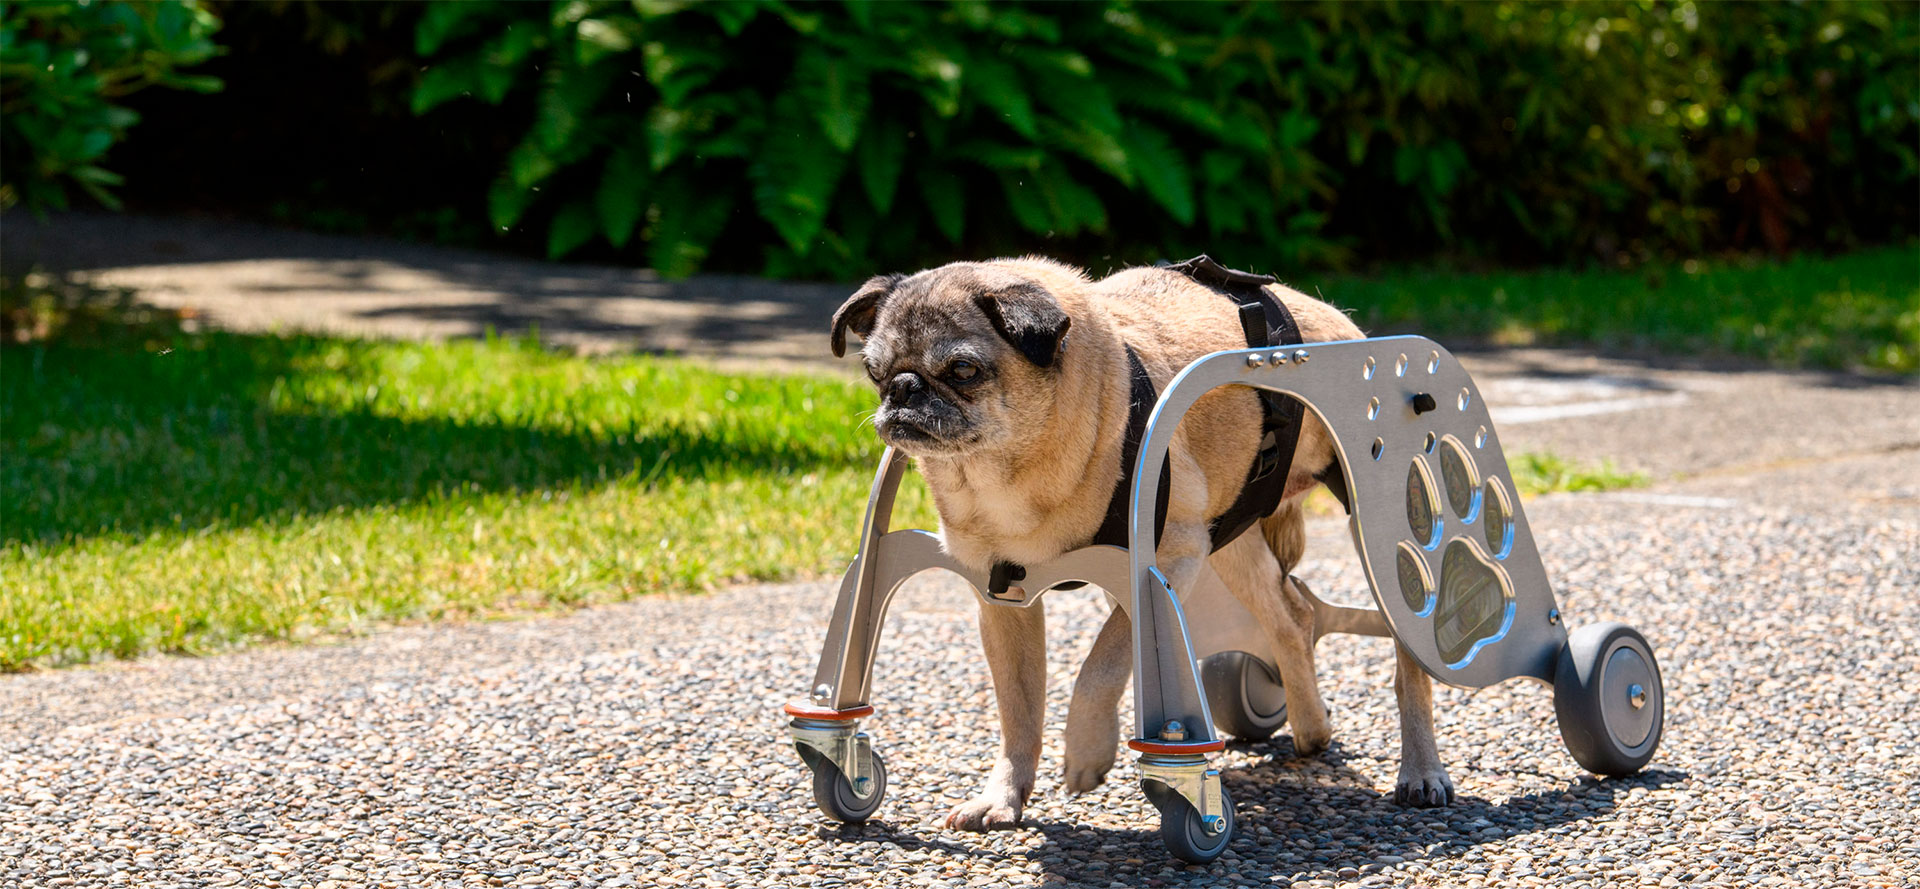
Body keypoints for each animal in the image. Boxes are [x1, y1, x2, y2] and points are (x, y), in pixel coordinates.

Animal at [829, 259, 1451, 837]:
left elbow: (1100, 666)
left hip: (1382, 538)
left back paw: (1421, 771)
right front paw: (1004, 795)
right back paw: (1311, 725)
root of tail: (1336, 322)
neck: (1004, 478)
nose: (903, 388)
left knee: (1409, 663)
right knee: (1292, 618)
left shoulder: (1162, 563)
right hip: (1231, 539)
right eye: (873, 373)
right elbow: (1019, 714)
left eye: (962, 370)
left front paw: (1086, 752)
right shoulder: (1003, 600)